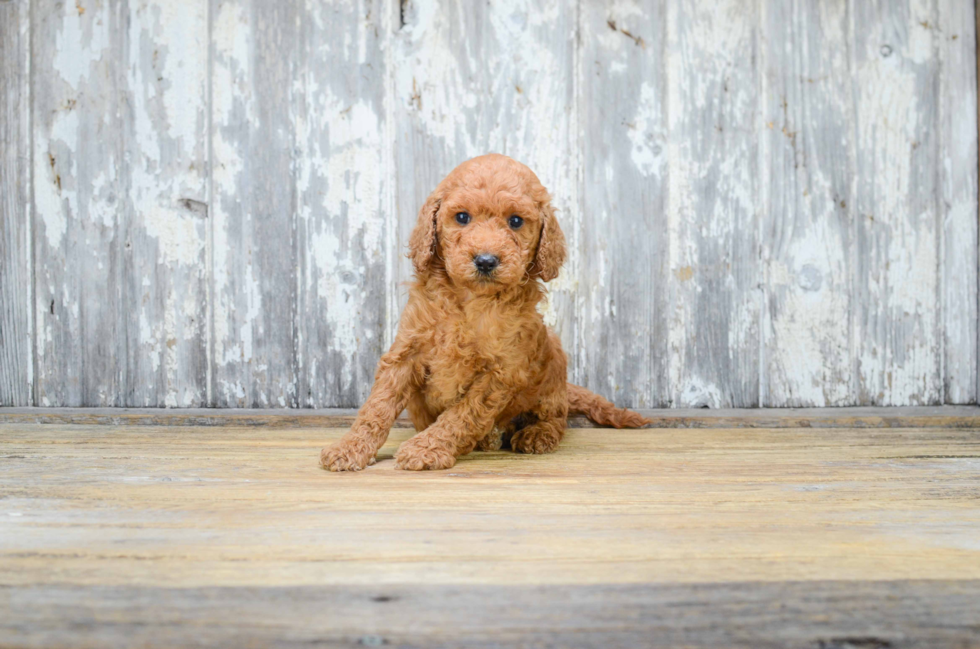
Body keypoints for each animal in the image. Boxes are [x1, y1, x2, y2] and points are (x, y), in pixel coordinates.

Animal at [322, 155, 652, 474]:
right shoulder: (407, 351)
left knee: (556, 417)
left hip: (553, 361)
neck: (471, 301)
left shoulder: (499, 371)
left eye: (516, 221)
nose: (485, 260)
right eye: (462, 217)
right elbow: (378, 405)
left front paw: (426, 449)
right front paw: (350, 447)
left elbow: (462, 414)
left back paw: (535, 434)